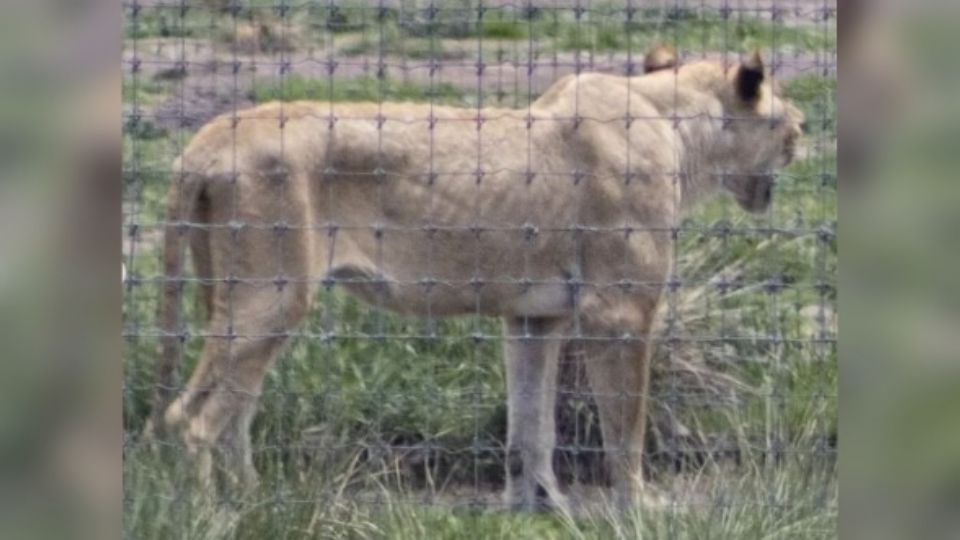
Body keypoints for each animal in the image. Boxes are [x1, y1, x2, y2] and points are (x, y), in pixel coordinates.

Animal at [144, 48, 804, 512]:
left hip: (239, 299)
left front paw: (538, 505)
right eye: (784, 113)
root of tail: (203, 142)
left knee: (235, 413)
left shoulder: (535, 316)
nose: (805, 127)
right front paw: (639, 506)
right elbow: (625, 424)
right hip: (273, 296)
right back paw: (216, 514)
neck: (679, 128)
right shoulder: (619, 311)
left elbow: (532, 425)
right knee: (192, 421)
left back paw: (254, 500)